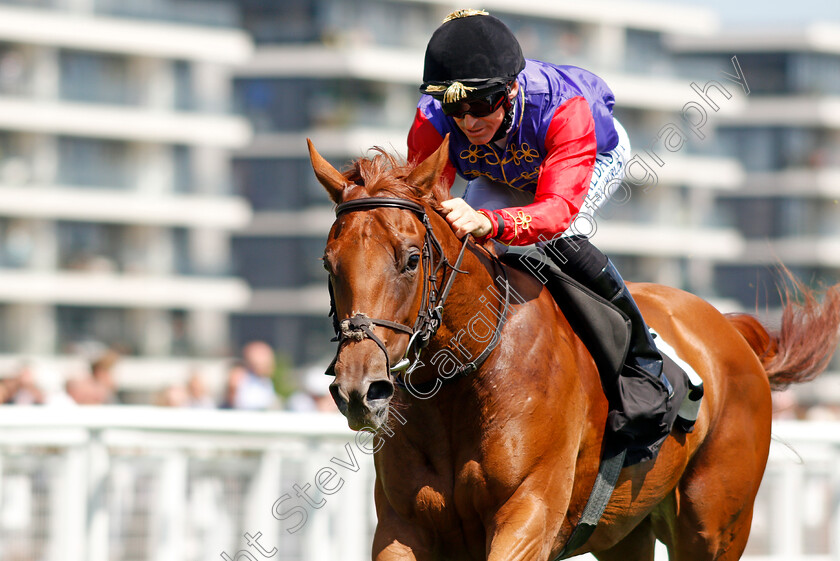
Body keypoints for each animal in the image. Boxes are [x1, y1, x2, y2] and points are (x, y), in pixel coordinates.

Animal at [306, 137, 840, 560]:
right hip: (625, 530)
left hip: (714, 526)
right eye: (328, 263)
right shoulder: (403, 527)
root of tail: (733, 333)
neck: (461, 385)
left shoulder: (529, 514)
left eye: (412, 259)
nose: (359, 390)